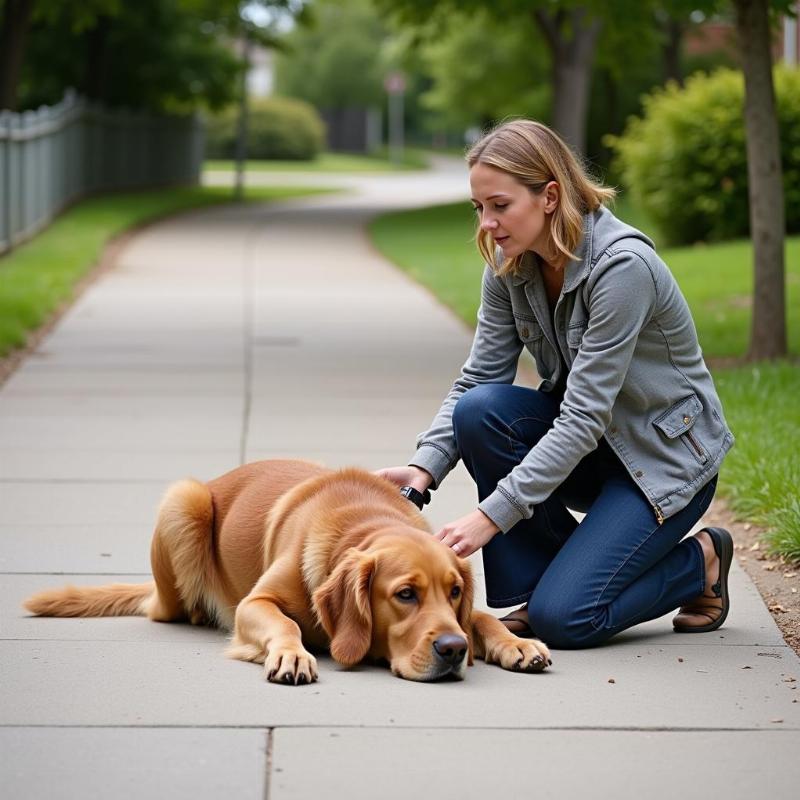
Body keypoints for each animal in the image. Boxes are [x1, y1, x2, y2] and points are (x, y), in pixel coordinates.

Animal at [23, 460, 552, 684]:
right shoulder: (254, 604)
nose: (454, 650)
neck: (363, 522)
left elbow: (481, 618)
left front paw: (516, 643)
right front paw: (292, 655)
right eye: (405, 595)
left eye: (455, 591)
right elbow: (285, 623)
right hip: (184, 500)